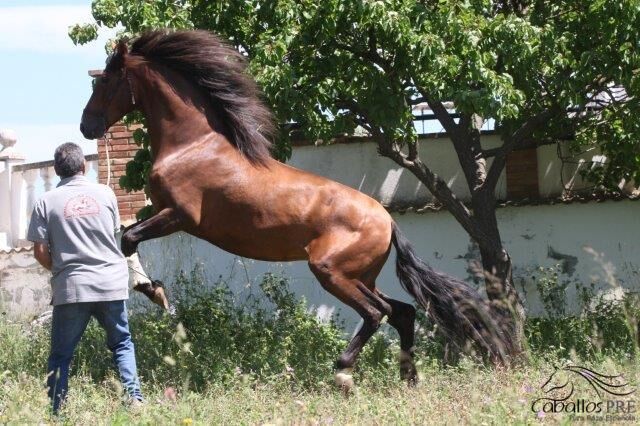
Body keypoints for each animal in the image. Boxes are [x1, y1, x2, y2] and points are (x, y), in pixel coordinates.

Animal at [81, 29, 516, 390]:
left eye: (105, 81)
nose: (87, 126)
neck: (192, 145)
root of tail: (388, 220)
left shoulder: (180, 216)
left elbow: (128, 237)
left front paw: (153, 291)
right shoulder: (163, 212)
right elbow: (127, 234)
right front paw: (152, 289)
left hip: (331, 271)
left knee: (377, 313)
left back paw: (342, 370)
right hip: (361, 274)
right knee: (403, 312)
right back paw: (408, 378)